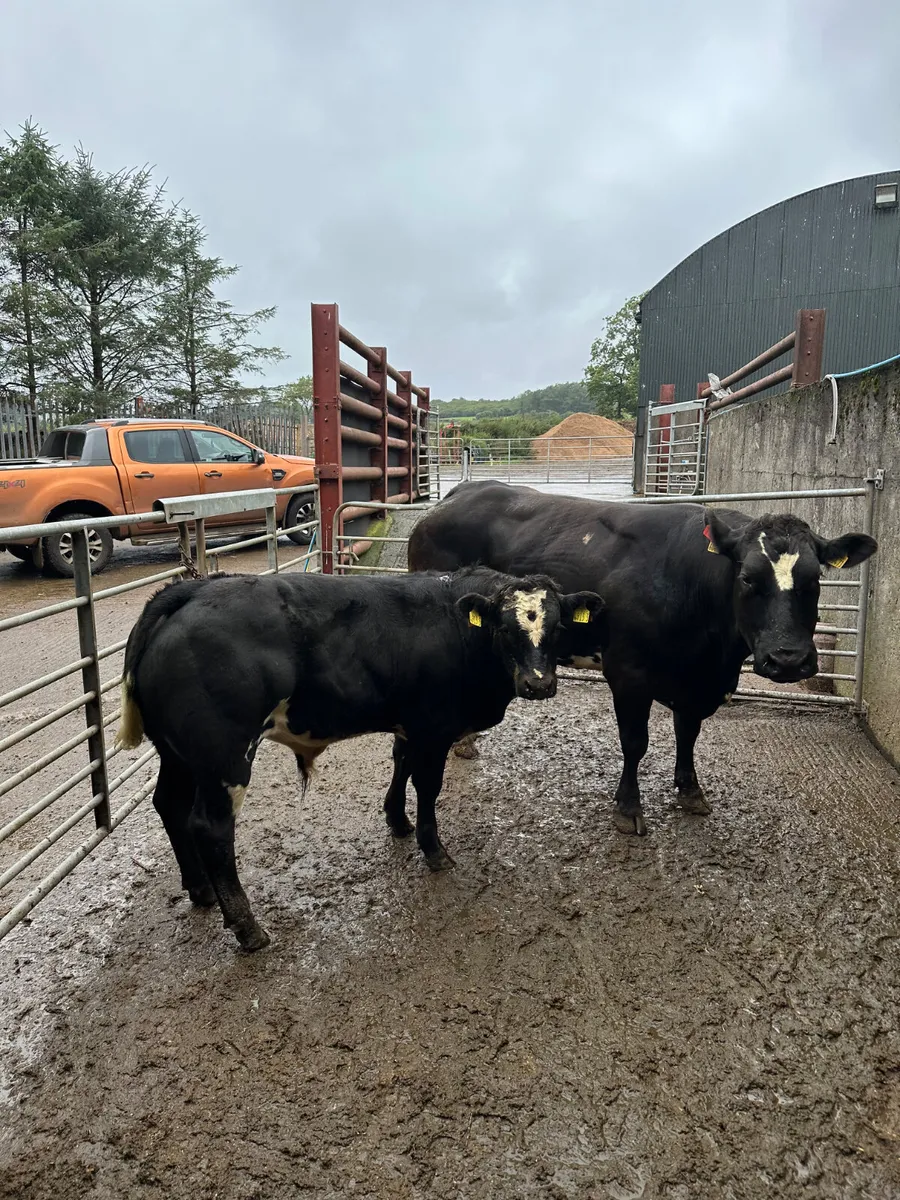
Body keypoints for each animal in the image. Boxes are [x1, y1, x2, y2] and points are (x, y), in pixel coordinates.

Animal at [116, 567, 603, 951]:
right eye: (504, 629)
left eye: (557, 628)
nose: (538, 684)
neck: (459, 630)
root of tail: (190, 591)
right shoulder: (434, 729)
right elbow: (427, 786)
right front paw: (433, 849)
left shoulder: (410, 725)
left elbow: (400, 764)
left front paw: (397, 821)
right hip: (224, 757)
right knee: (210, 828)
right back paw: (247, 926)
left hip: (178, 755)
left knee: (168, 804)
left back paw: (199, 889)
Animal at [408, 481, 877, 837]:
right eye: (747, 578)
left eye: (815, 579)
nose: (788, 659)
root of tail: (461, 493)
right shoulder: (628, 673)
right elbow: (635, 742)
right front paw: (628, 808)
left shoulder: (696, 681)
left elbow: (688, 734)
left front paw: (690, 791)